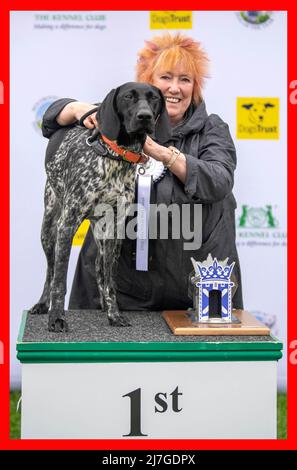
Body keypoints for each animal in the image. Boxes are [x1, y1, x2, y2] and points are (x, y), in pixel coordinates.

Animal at [30, 83, 170, 334]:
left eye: (153, 98)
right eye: (128, 97)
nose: (144, 116)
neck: (116, 157)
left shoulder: (115, 227)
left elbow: (110, 280)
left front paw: (114, 314)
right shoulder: (67, 225)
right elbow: (59, 281)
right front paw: (57, 318)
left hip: (106, 236)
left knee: (100, 269)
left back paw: (105, 305)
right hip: (49, 227)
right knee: (50, 270)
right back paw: (43, 303)